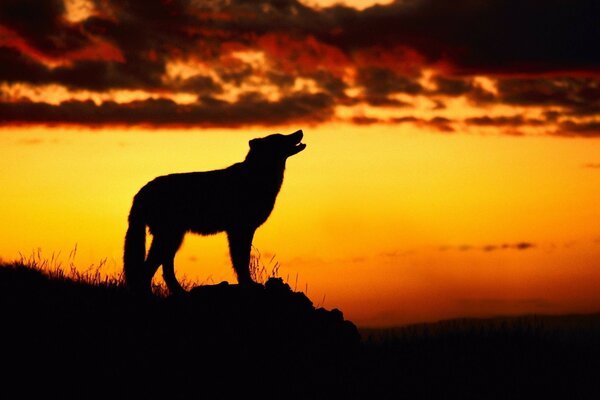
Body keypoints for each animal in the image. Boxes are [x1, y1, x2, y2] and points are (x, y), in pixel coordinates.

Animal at [124, 130, 308, 292]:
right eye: (280, 137)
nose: (300, 131)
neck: (257, 177)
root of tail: (140, 193)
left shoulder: (240, 230)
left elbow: (241, 259)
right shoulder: (240, 229)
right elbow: (241, 260)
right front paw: (248, 284)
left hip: (173, 238)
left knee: (162, 269)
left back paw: (180, 292)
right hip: (169, 237)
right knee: (147, 269)